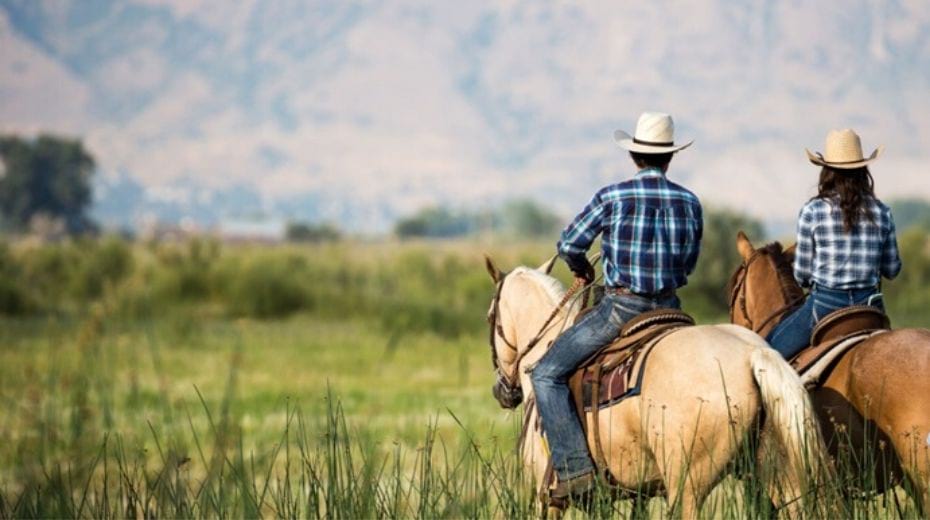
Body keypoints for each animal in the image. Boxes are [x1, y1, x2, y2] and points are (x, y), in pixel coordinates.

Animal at [484, 255, 833, 518]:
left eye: (489, 317)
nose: (502, 391)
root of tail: (753, 354)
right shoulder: (633, 493)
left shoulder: (546, 499)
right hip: (782, 475)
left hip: (687, 487)